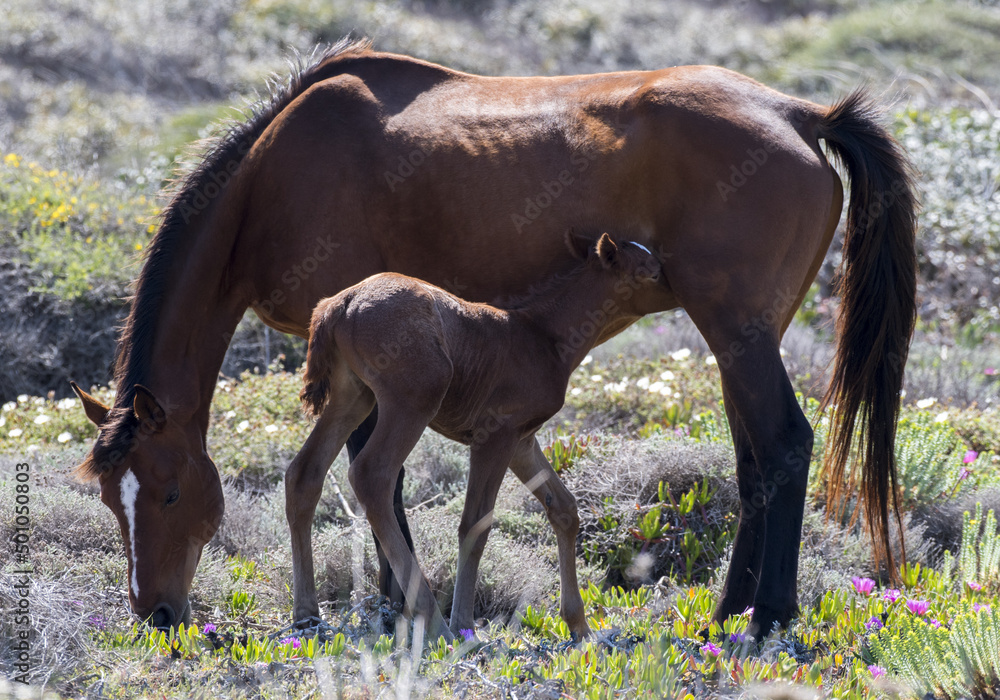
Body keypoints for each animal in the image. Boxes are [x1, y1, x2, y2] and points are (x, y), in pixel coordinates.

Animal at [297, 231, 666, 639]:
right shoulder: (494, 435)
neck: (543, 336)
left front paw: (580, 627)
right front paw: (464, 626)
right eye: (651, 273)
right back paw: (435, 625)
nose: (677, 287)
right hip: (414, 398)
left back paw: (306, 615)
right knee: (371, 475)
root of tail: (339, 304)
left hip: (353, 395)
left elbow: (564, 508)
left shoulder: (522, 441)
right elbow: (475, 524)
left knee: (305, 472)